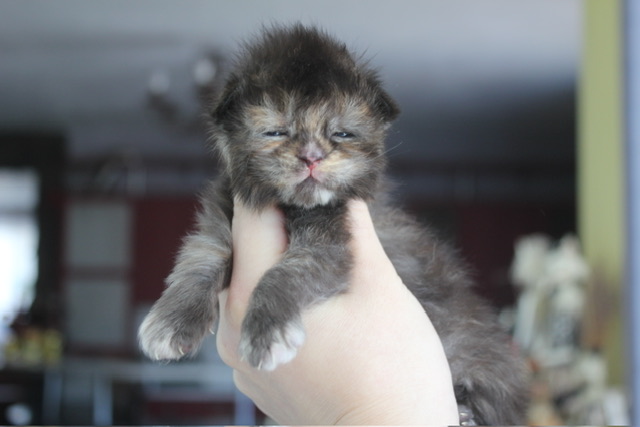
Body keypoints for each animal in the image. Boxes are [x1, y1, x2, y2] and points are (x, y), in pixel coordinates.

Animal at [138, 24, 529, 425]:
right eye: (276, 131)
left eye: (342, 133)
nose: (312, 156)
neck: (293, 206)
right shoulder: (221, 218)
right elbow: (199, 261)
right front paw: (172, 320)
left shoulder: (328, 245)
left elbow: (282, 274)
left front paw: (267, 331)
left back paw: (466, 411)